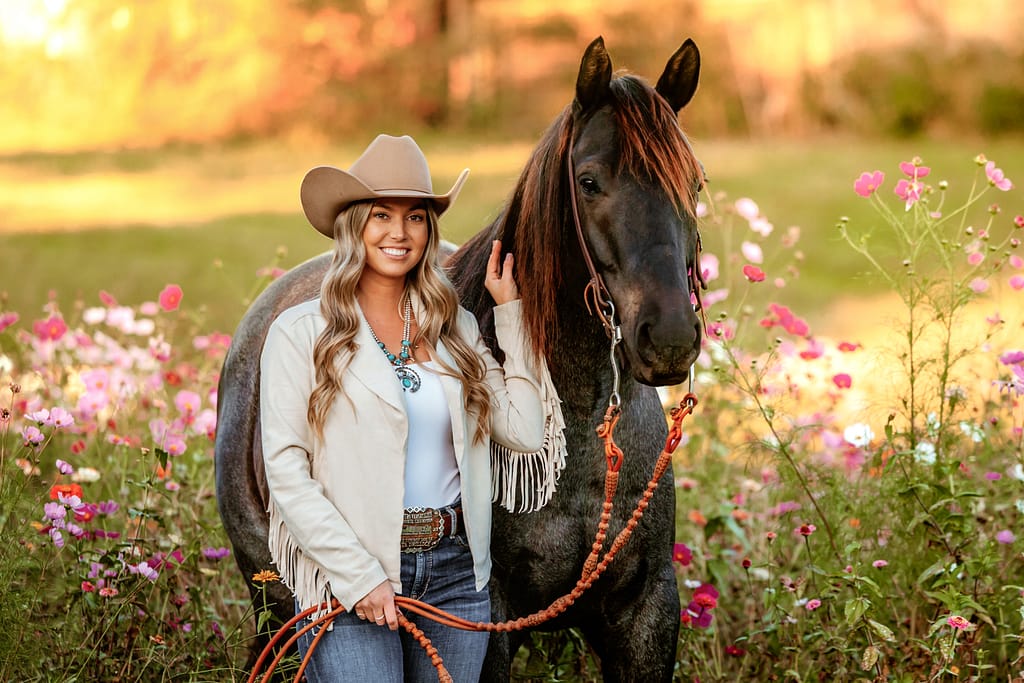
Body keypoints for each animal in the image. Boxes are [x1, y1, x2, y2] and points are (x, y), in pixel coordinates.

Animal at [215, 37, 704, 683]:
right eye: (590, 181)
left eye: (694, 185)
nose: (669, 336)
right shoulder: (488, 619)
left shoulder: (647, 616)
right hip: (277, 603)